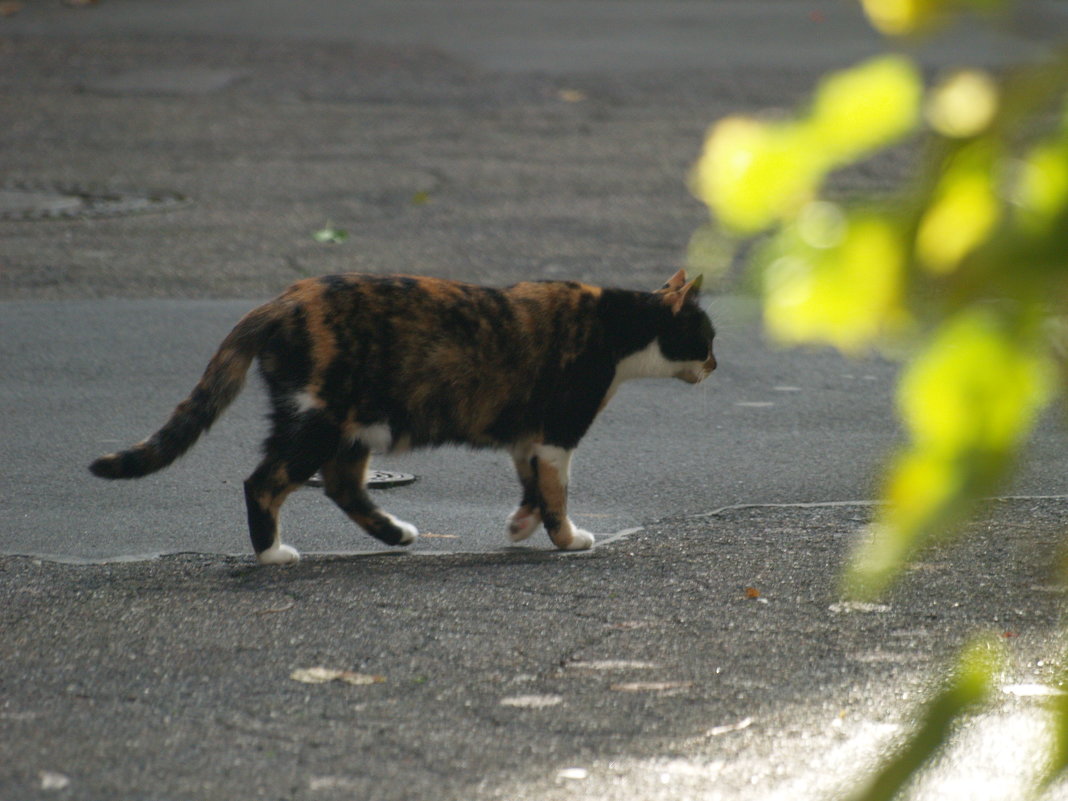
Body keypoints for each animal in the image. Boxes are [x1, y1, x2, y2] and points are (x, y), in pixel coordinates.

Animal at [89, 270, 717, 563]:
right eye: (708, 335)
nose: (716, 362)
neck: (619, 329)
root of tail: (283, 299)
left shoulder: (527, 436)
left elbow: (531, 488)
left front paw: (520, 526)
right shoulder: (558, 434)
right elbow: (556, 495)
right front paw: (567, 539)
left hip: (352, 425)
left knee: (342, 486)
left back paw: (394, 533)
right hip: (321, 418)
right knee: (264, 482)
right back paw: (272, 553)